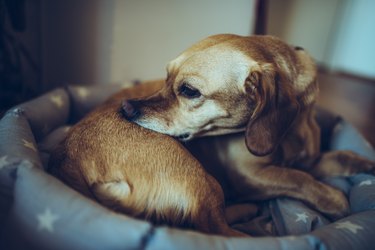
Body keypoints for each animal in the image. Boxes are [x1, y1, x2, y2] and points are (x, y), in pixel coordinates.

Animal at [121, 33, 375, 219]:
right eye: (166, 77)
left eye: (189, 91)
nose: (126, 108)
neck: (292, 130)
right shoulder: (251, 175)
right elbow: (298, 178)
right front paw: (333, 198)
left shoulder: (308, 161)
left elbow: (339, 157)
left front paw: (365, 163)